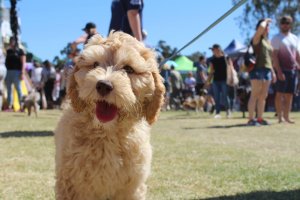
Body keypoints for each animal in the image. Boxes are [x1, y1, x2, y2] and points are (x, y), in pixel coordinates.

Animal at [55, 32, 165, 199]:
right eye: (95, 64)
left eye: (128, 69)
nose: (103, 85)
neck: (106, 133)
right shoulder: (70, 183)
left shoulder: (131, 187)